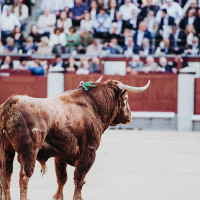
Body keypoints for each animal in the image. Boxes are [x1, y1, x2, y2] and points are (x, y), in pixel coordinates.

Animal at [0, 77, 150, 200]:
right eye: (126, 99)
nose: (129, 117)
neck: (93, 106)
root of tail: (11, 103)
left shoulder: (60, 155)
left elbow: (62, 178)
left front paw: (58, 197)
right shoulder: (89, 152)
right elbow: (79, 177)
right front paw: (77, 197)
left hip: (7, 150)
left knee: (6, 175)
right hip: (29, 151)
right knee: (24, 176)